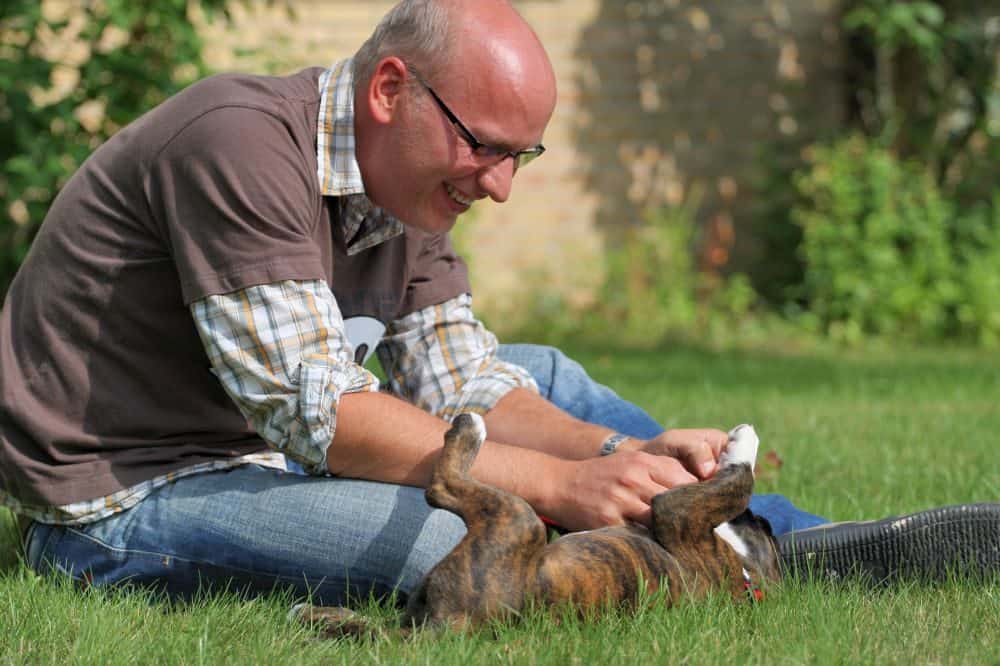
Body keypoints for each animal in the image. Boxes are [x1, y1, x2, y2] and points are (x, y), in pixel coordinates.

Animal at [296, 416, 780, 632]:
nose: (762, 518)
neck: (743, 576)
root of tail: (452, 625)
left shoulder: (679, 516)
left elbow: (741, 480)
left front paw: (745, 441)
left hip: (519, 519)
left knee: (443, 487)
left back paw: (468, 428)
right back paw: (312, 613)